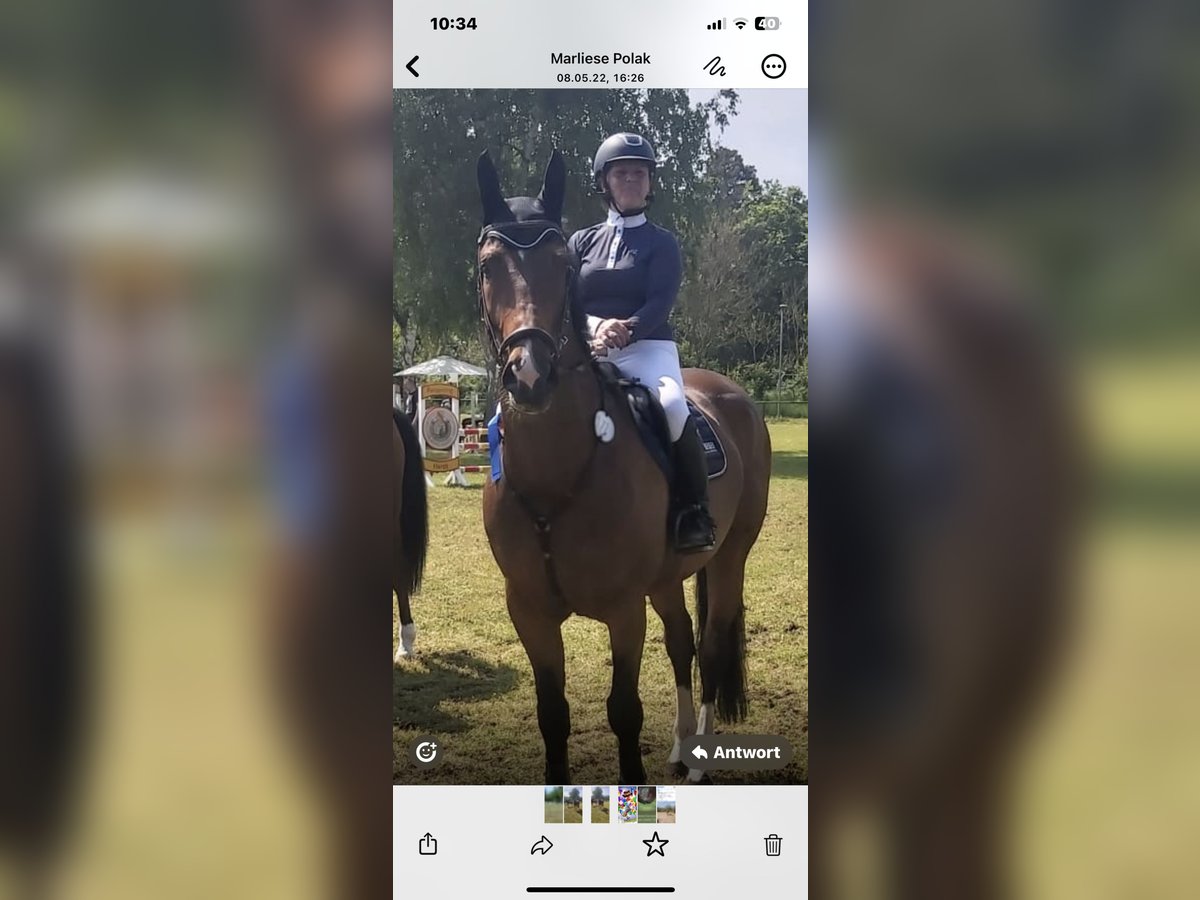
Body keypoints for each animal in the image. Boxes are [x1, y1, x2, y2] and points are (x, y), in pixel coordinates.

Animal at [475, 149, 772, 784]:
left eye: (563, 265)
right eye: (489, 266)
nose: (529, 375)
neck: (556, 475)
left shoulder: (622, 610)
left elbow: (624, 711)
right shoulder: (529, 611)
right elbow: (552, 713)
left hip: (731, 554)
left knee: (711, 647)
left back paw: (698, 762)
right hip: (665, 577)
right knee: (682, 643)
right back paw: (682, 746)